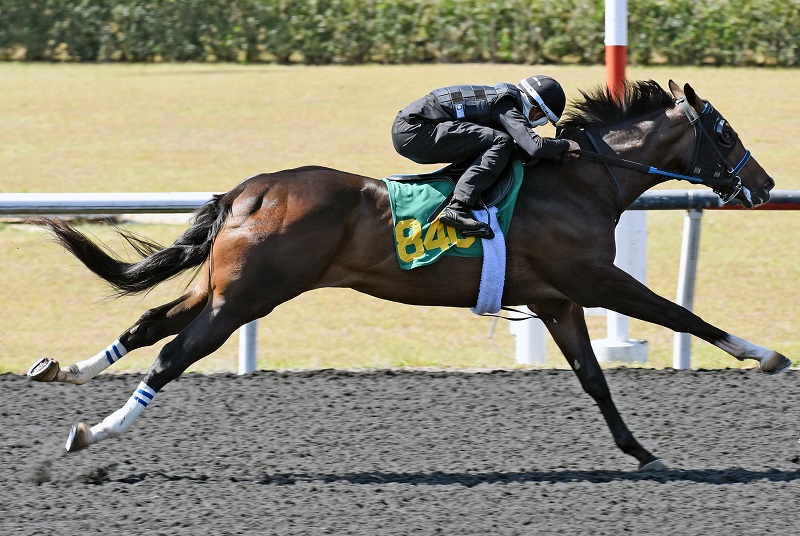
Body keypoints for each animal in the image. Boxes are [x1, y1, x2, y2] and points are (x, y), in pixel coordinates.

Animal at [26, 79, 792, 468]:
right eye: (724, 130)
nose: (764, 183)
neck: (581, 179)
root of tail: (250, 189)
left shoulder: (556, 300)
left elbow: (596, 380)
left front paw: (641, 452)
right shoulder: (595, 281)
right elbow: (685, 315)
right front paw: (767, 355)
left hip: (225, 289)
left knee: (149, 322)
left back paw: (65, 369)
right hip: (246, 298)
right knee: (172, 355)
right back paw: (95, 433)